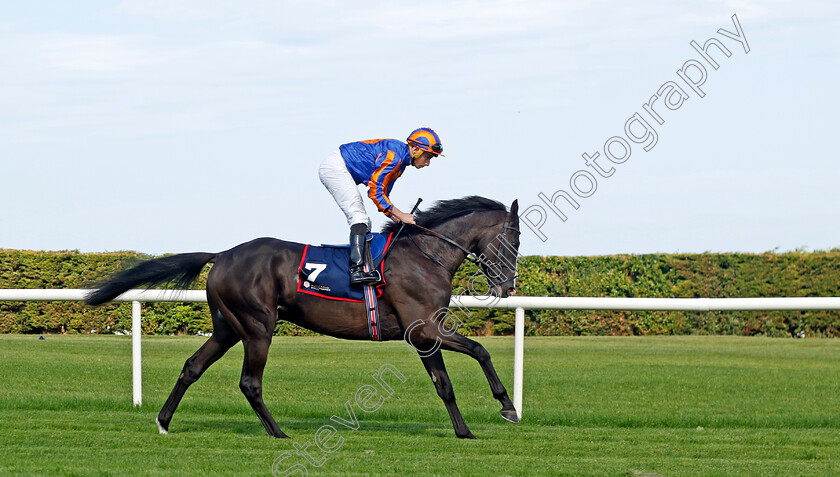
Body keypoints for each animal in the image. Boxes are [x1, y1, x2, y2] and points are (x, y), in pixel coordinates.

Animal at [85, 195, 520, 436]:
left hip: (227, 328)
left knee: (192, 366)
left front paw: (466, 431)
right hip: (257, 326)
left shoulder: (425, 334)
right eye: (514, 240)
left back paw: (163, 421)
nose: (508, 286)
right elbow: (479, 352)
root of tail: (223, 254)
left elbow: (444, 383)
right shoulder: (425, 329)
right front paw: (507, 407)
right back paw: (278, 433)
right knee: (250, 383)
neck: (424, 256)